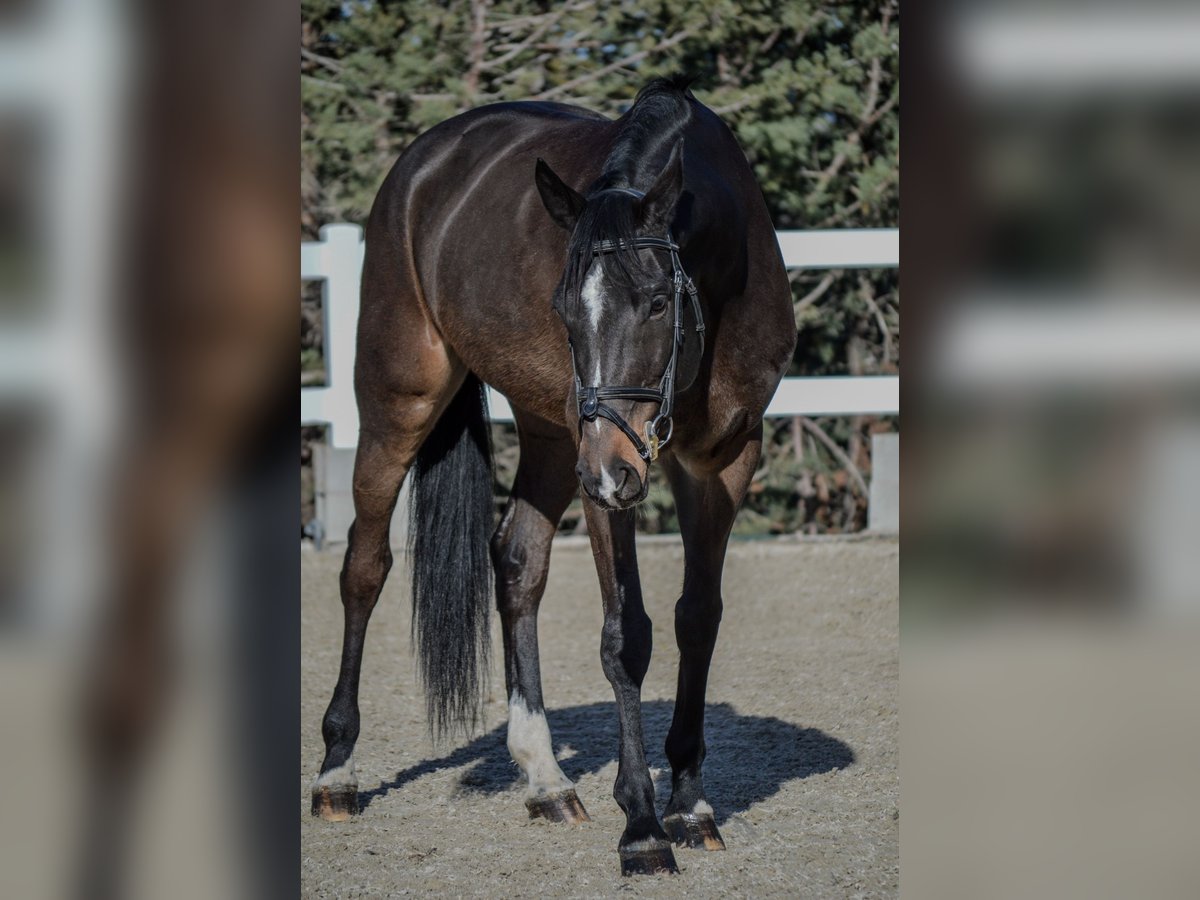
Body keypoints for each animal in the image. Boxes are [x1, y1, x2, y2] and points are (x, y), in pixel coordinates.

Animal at [309, 79, 796, 883]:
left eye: (657, 302)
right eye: (566, 310)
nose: (607, 468)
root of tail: (425, 161)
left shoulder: (725, 459)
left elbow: (698, 618)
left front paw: (691, 803)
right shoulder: (608, 477)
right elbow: (627, 636)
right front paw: (643, 827)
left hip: (548, 434)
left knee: (516, 562)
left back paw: (545, 780)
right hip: (405, 403)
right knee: (364, 567)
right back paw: (336, 772)